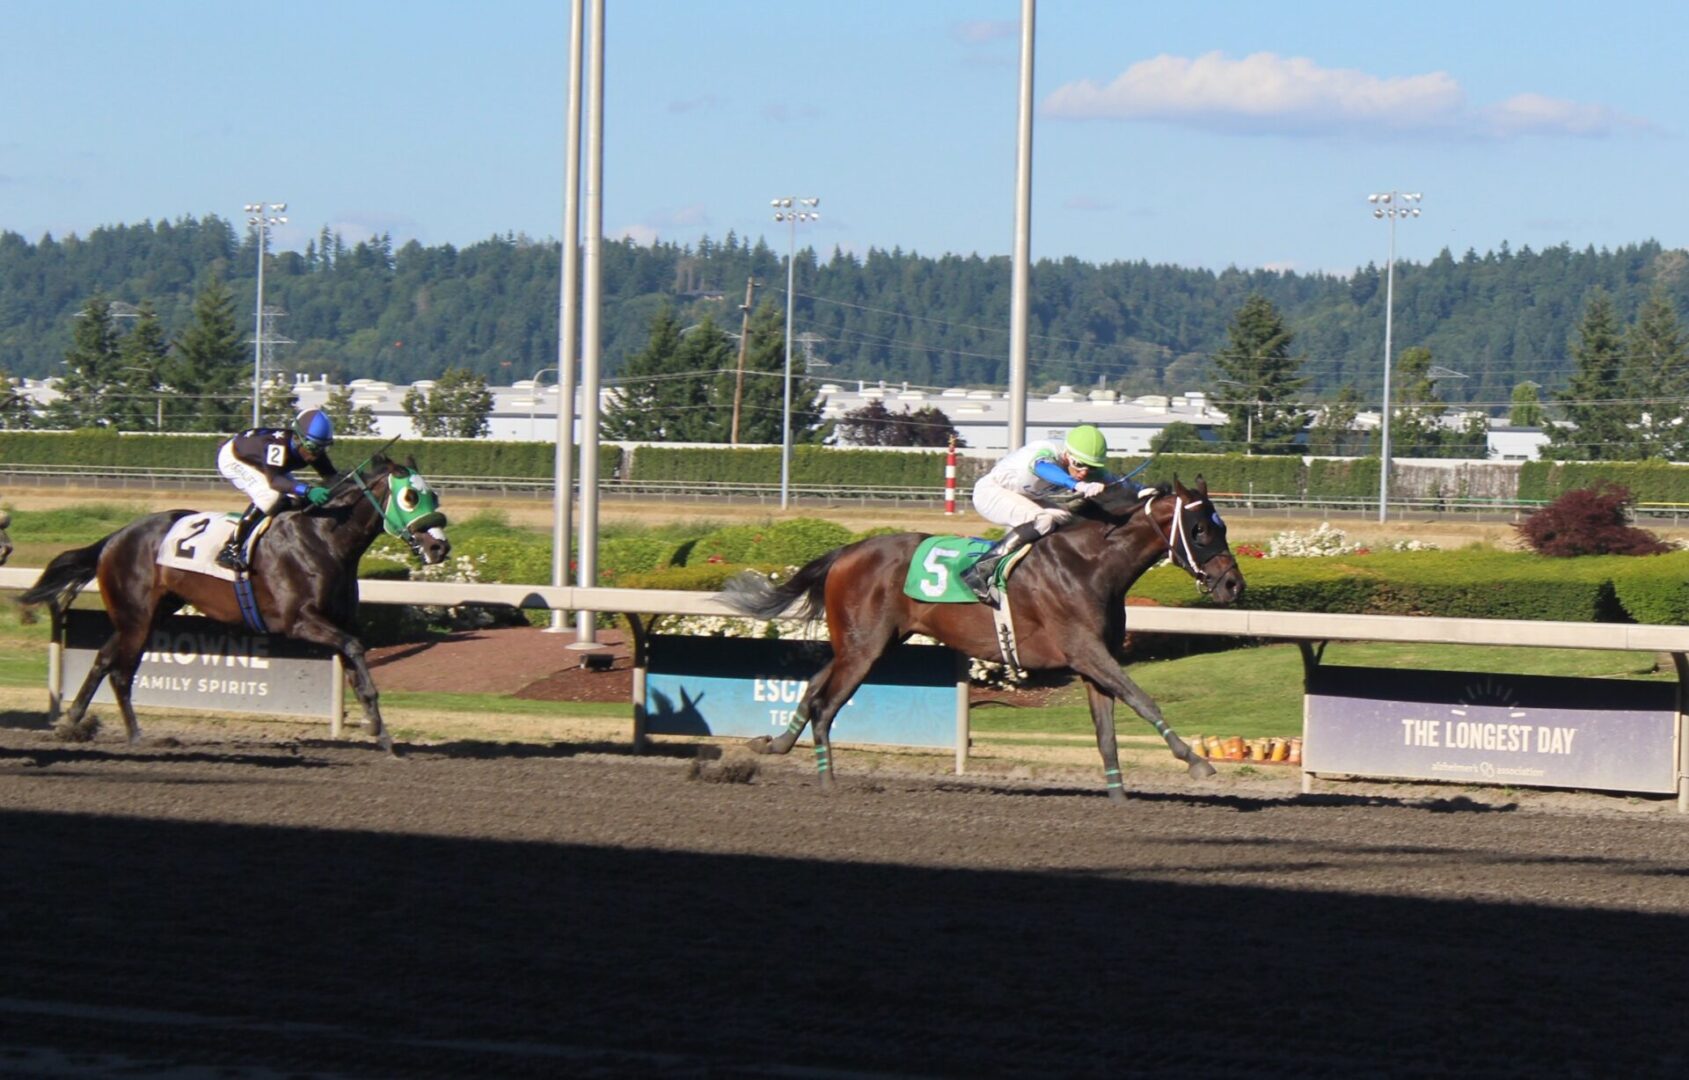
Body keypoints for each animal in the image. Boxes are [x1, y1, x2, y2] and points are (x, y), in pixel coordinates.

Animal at [18, 454, 451, 754]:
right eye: (410, 496)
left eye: (433, 494)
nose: (439, 547)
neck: (323, 538)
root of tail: (115, 536)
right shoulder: (298, 621)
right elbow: (355, 649)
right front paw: (378, 731)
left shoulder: (340, 620)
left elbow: (358, 673)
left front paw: (383, 735)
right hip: (136, 617)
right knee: (121, 673)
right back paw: (136, 736)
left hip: (147, 614)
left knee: (105, 659)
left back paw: (72, 722)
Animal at [720, 476, 1245, 800]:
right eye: (1199, 529)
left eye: (1221, 526)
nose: (1233, 585)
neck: (1090, 564)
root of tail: (848, 550)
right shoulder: (1086, 651)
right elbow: (1142, 699)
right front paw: (1196, 761)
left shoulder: (1092, 662)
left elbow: (1107, 733)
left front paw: (1118, 795)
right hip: (865, 648)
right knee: (827, 704)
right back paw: (828, 781)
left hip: (868, 642)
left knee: (813, 688)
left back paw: (774, 745)